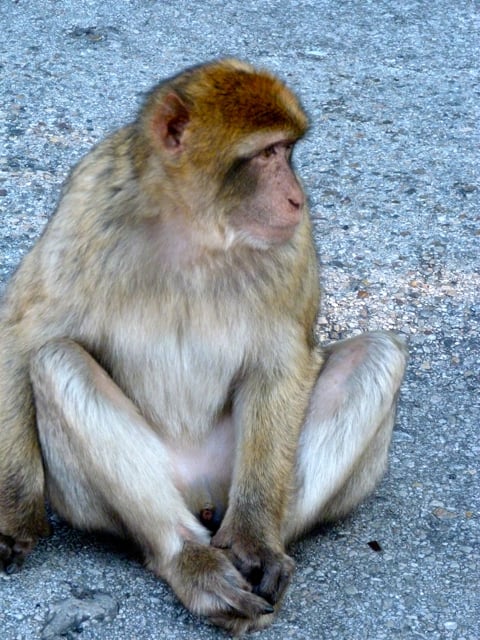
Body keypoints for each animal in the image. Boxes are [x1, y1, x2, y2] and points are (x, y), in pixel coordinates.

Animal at [0, 59, 407, 634]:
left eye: (287, 151)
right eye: (266, 153)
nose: (297, 198)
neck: (196, 229)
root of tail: (205, 500)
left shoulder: (292, 242)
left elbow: (281, 365)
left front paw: (256, 544)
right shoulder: (87, 208)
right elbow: (21, 337)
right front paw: (15, 517)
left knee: (376, 356)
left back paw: (257, 549)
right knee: (57, 360)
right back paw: (190, 562)